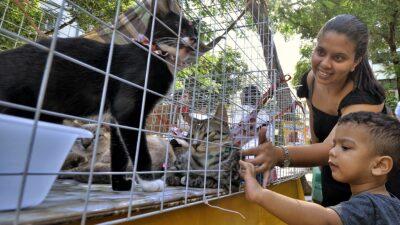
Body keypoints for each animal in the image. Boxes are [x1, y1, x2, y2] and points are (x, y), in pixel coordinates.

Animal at [0, 6, 198, 192]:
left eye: (195, 31)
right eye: (179, 25)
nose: (195, 39)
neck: (154, 54)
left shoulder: (115, 116)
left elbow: (119, 150)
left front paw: (120, 185)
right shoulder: (128, 108)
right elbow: (137, 146)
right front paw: (149, 183)